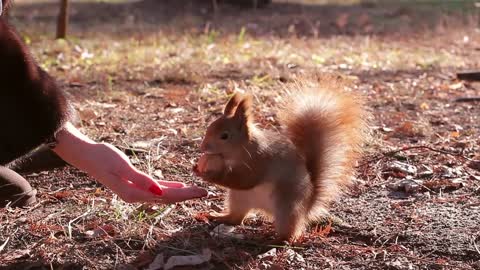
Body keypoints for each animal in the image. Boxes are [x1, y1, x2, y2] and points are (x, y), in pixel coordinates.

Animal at [193, 76, 366, 243]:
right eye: (209, 127)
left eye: (225, 136)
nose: (203, 147)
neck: (241, 150)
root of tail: (307, 205)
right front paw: (196, 167)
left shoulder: (259, 162)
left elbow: (245, 180)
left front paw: (208, 175)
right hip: (238, 198)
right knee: (236, 217)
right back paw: (218, 216)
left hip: (286, 207)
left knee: (289, 231)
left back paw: (276, 239)